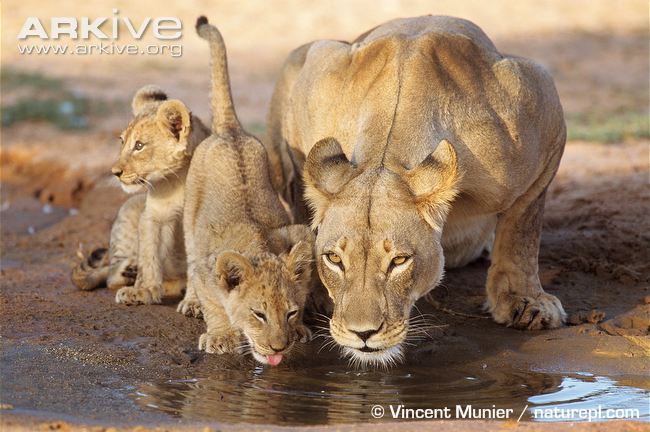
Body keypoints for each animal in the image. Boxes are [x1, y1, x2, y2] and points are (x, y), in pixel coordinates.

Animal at [71, 84, 210, 315]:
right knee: (110, 276)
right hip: (130, 207)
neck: (178, 179)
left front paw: (196, 303)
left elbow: (198, 265)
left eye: (139, 146)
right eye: (122, 141)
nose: (115, 172)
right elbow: (149, 255)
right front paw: (142, 291)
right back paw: (130, 271)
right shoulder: (153, 215)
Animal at [182, 17, 314, 366]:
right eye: (259, 314)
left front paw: (302, 329)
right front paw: (221, 336)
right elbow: (215, 306)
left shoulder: (297, 231)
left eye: (290, 313)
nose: (279, 347)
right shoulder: (206, 270)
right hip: (189, 219)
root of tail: (231, 131)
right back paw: (190, 302)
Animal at [265, 15, 567, 367]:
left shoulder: (541, 107)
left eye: (399, 261)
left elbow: (522, 228)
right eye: (334, 259)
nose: (362, 334)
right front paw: (312, 293)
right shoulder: (313, 76)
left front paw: (525, 301)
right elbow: (304, 207)